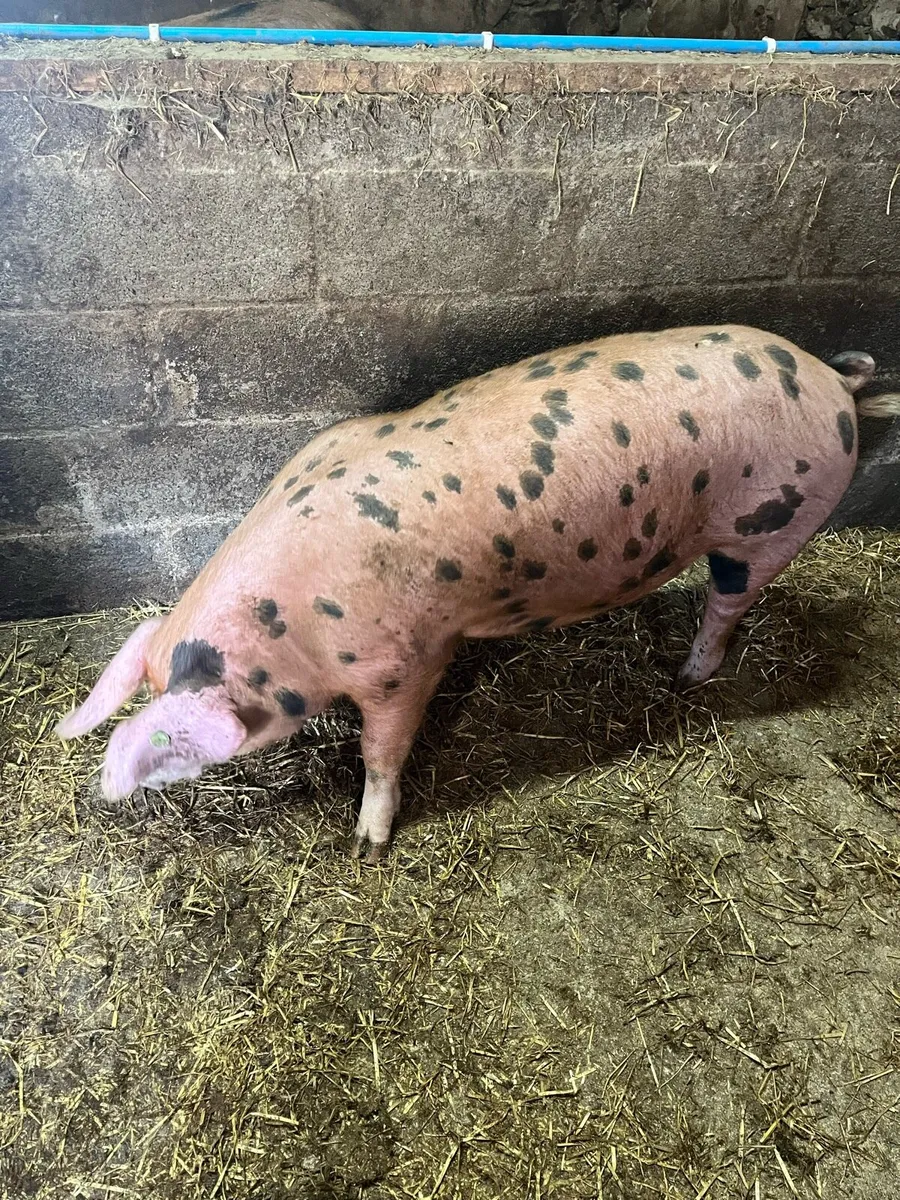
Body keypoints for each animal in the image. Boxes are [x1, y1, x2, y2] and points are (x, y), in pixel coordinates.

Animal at [56, 324, 900, 863]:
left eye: (178, 737)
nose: (120, 788)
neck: (296, 627)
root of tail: (833, 380)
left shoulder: (405, 664)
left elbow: (383, 753)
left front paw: (366, 846)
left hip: (776, 525)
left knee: (729, 605)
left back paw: (687, 676)